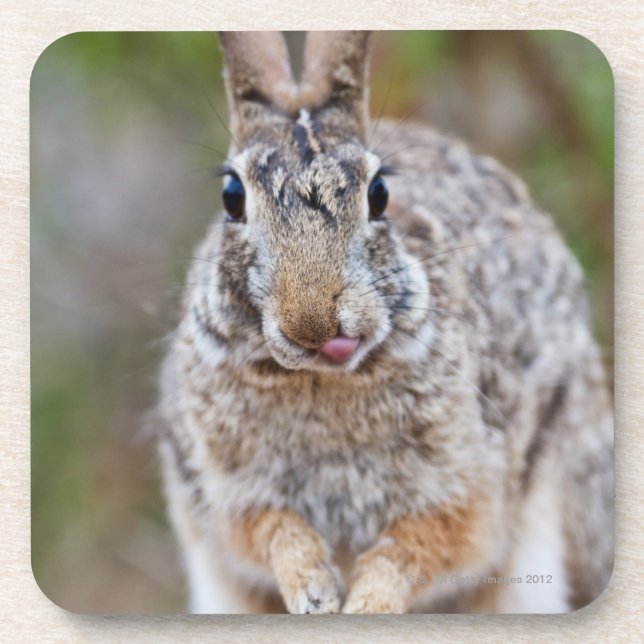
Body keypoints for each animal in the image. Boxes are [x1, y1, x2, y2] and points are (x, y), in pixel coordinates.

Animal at [156, 31, 613, 614]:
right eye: (231, 198)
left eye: (379, 194)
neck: (324, 378)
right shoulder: (227, 494)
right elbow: (273, 532)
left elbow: (413, 547)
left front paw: (367, 606)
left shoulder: (468, 492)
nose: (315, 324)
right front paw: (314, 593)